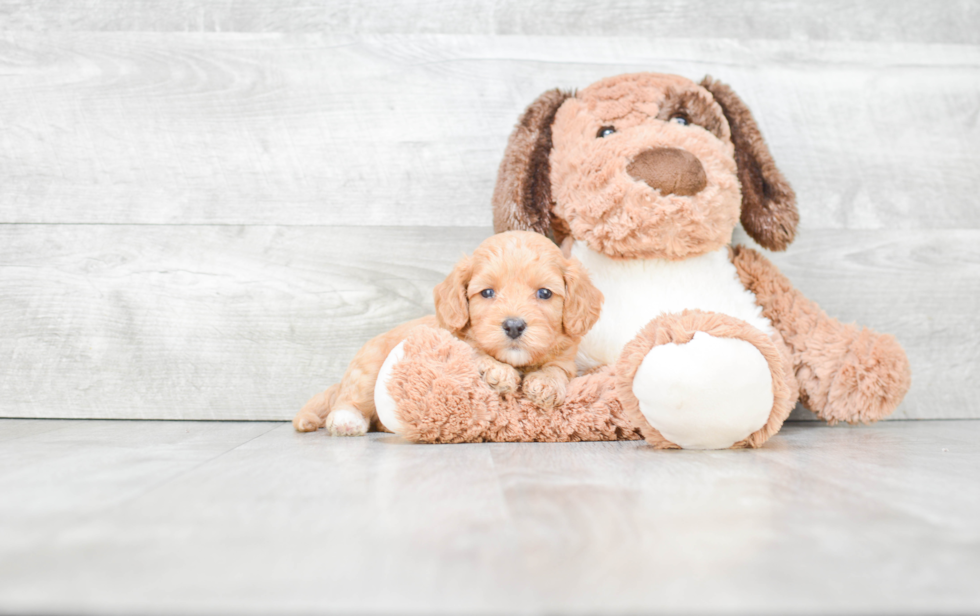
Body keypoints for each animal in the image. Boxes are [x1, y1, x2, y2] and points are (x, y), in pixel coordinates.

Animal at [290, 231, 600, 438]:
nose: (513, 325)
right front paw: (499, 372)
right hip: (368, 367)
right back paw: (347, 420)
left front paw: (545, 383)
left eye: (544, 293)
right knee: (350, 399)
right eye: (487, 292)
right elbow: (474, 352)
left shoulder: (566, 359)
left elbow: (556, 369)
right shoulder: (451, 341)